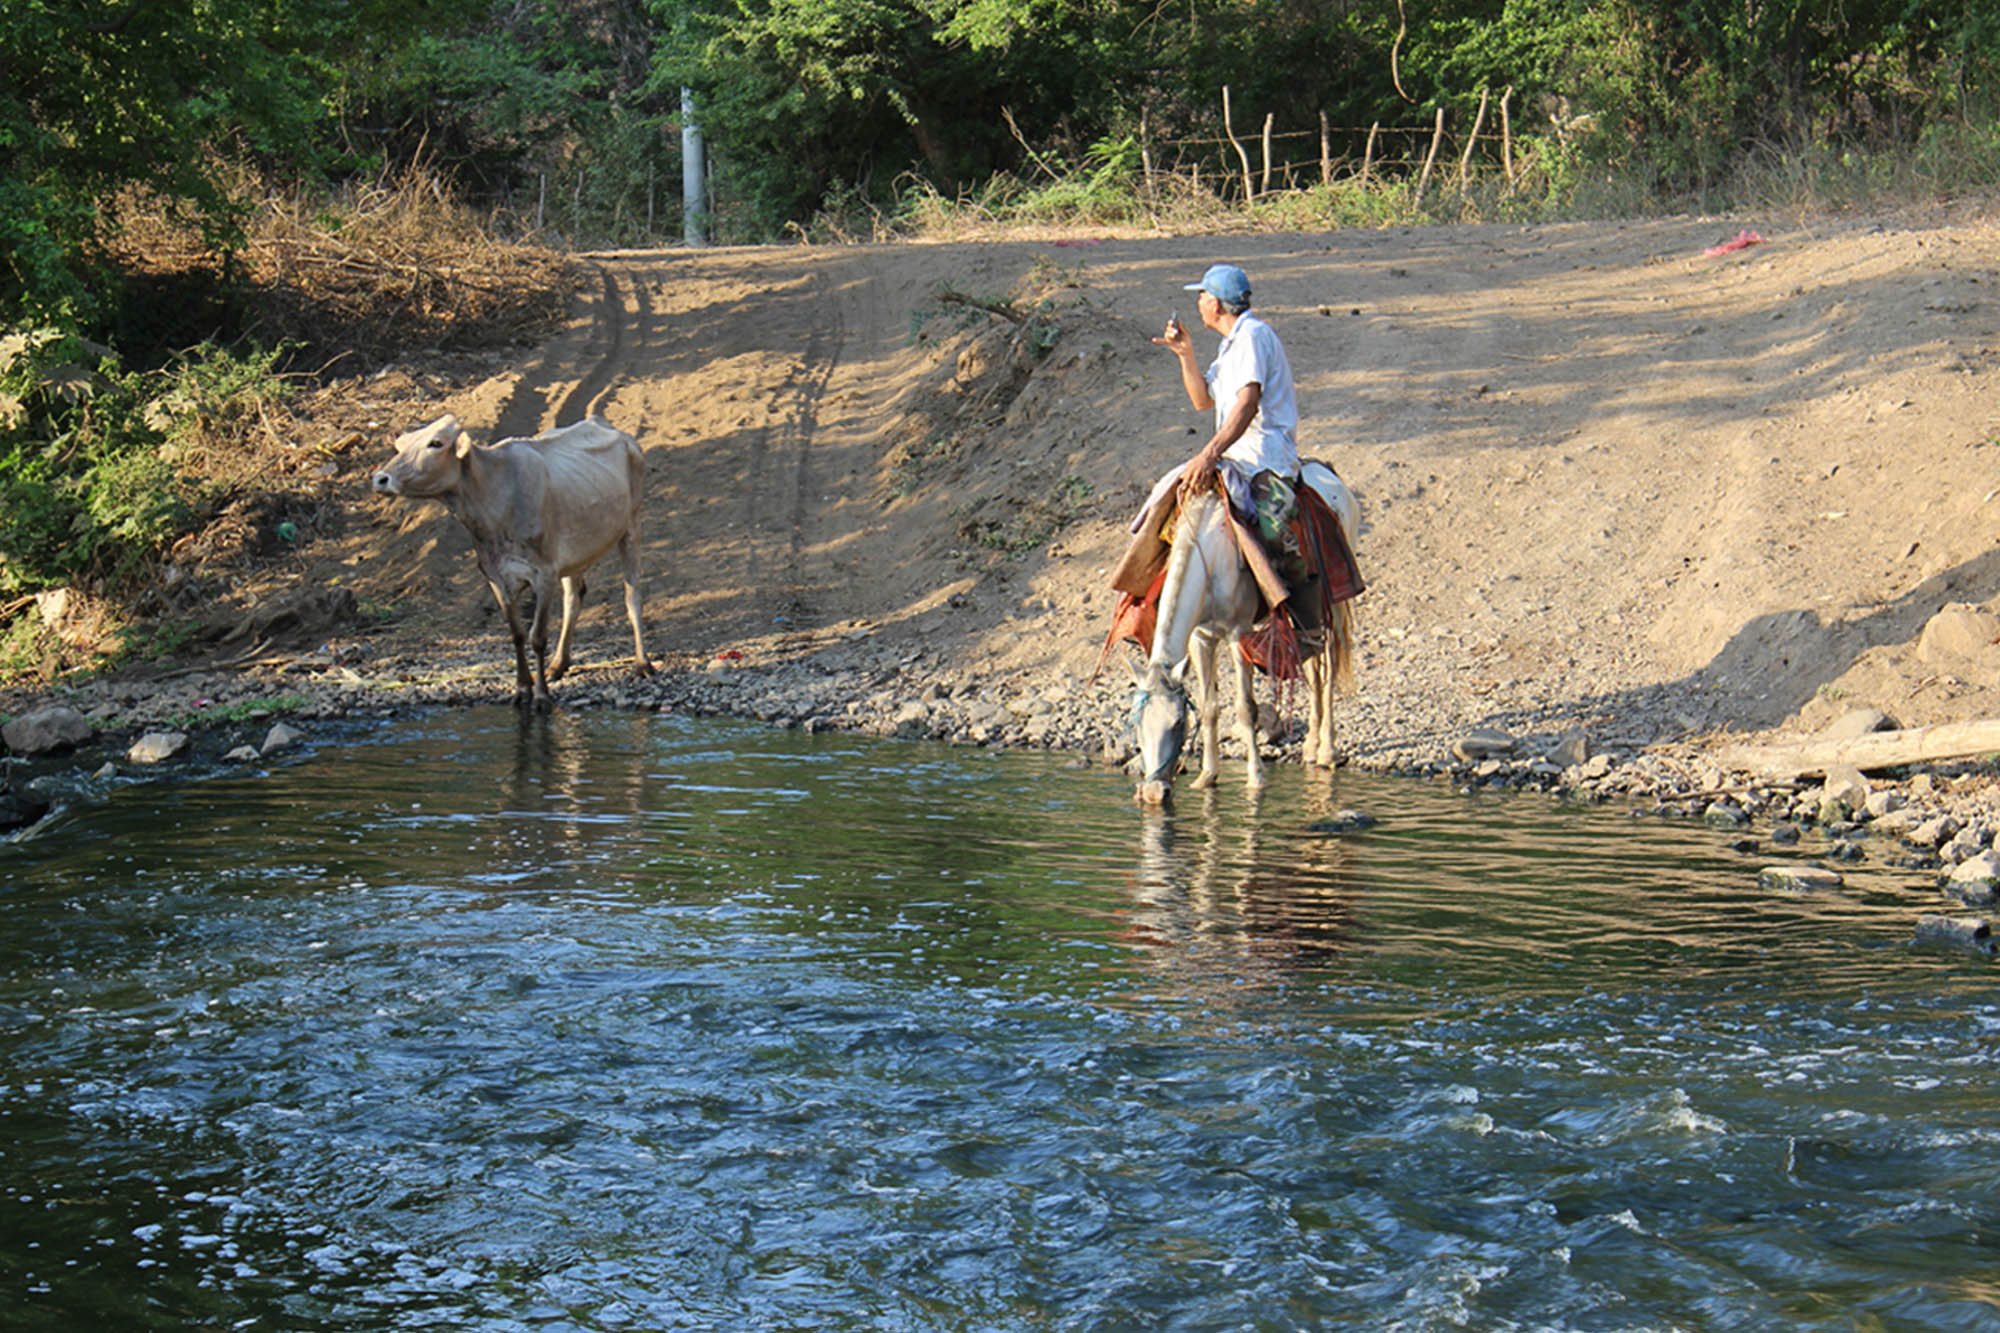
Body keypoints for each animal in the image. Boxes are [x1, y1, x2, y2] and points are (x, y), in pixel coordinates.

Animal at [1130, 466, 1358, 807]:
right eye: (1136, 722)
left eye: (1178, 723)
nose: (1154, 793)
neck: (1209, 558)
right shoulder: (1201, 637)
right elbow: (1210, 706)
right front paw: (1207, 776)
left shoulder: (1238, 634)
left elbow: (1244, 708)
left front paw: (1256, 778)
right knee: (1312, 667)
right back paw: (1310, 748)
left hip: (1336, 604)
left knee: (1329, 670)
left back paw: (1328, 751)